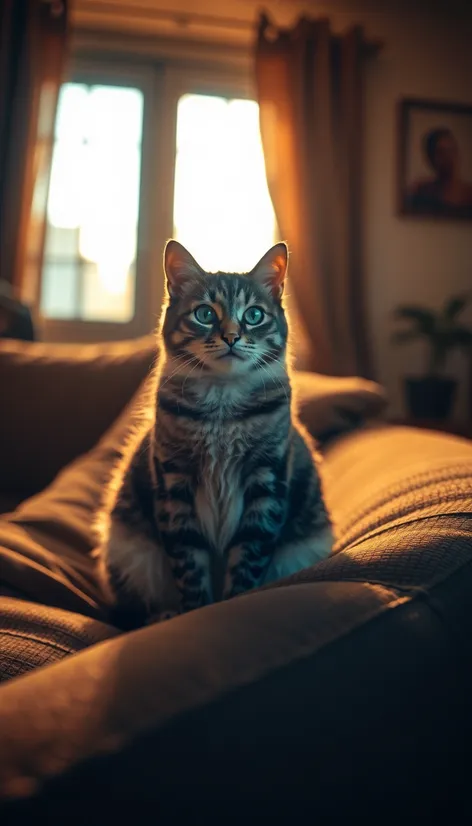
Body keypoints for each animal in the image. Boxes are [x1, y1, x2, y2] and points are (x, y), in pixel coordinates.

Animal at [96, 238, 332, 624]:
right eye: (205, 314)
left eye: (254, 315)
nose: (232, 337)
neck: (223, 406)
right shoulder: (175, 485)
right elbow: (190, 569)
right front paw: (192, 615)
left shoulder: (265, 482)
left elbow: (247, 563)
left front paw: (230, 608)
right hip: (129, 552)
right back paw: (162, 616)